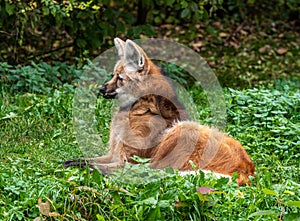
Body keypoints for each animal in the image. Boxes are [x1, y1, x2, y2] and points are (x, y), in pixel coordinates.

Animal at [63, 37, 255, 185]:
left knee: (149, 171)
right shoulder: (114, 153)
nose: (101, 89)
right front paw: (71, 161)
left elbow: (99, 165)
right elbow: (87, 159)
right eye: (113, 75)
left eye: (120, 78)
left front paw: (77, 166)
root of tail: (248, 170)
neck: (140, 106)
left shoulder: (127, 159)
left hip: (185, 129)